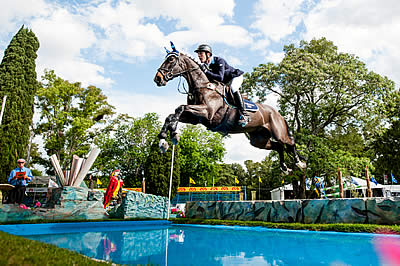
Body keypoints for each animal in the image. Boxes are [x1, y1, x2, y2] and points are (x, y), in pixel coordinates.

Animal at [154, 46, 306, 175]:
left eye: (171, 60)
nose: (157, 79)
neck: (202, 85)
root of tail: (277, 113)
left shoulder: (206, 113)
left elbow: (179, 108)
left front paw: (172, 134)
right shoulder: (195, 118)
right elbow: (173, 114)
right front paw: (165, 139)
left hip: (278, 133)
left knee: (290, 143)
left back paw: (300, 163)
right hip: (258, 140)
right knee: (278, 147)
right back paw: (284, 168)